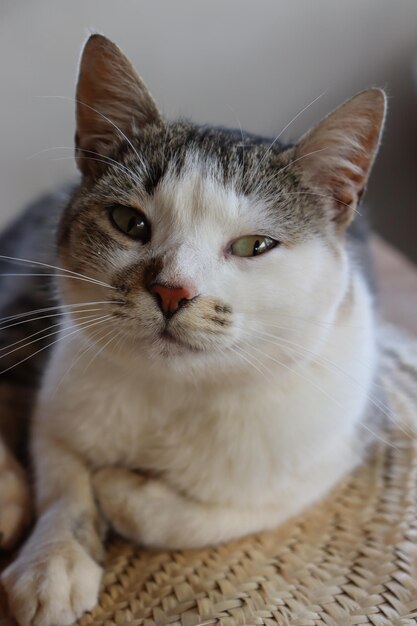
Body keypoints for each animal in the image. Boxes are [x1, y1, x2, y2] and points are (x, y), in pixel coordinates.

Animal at [0, 33, 386, 624]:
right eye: (129, 222)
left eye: (254, 245)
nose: (172, 291)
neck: (176, 392)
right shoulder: (59, 405)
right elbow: (63, 480)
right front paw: (54, 561)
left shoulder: (320, 459)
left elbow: (207, 514)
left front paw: (121, 490)